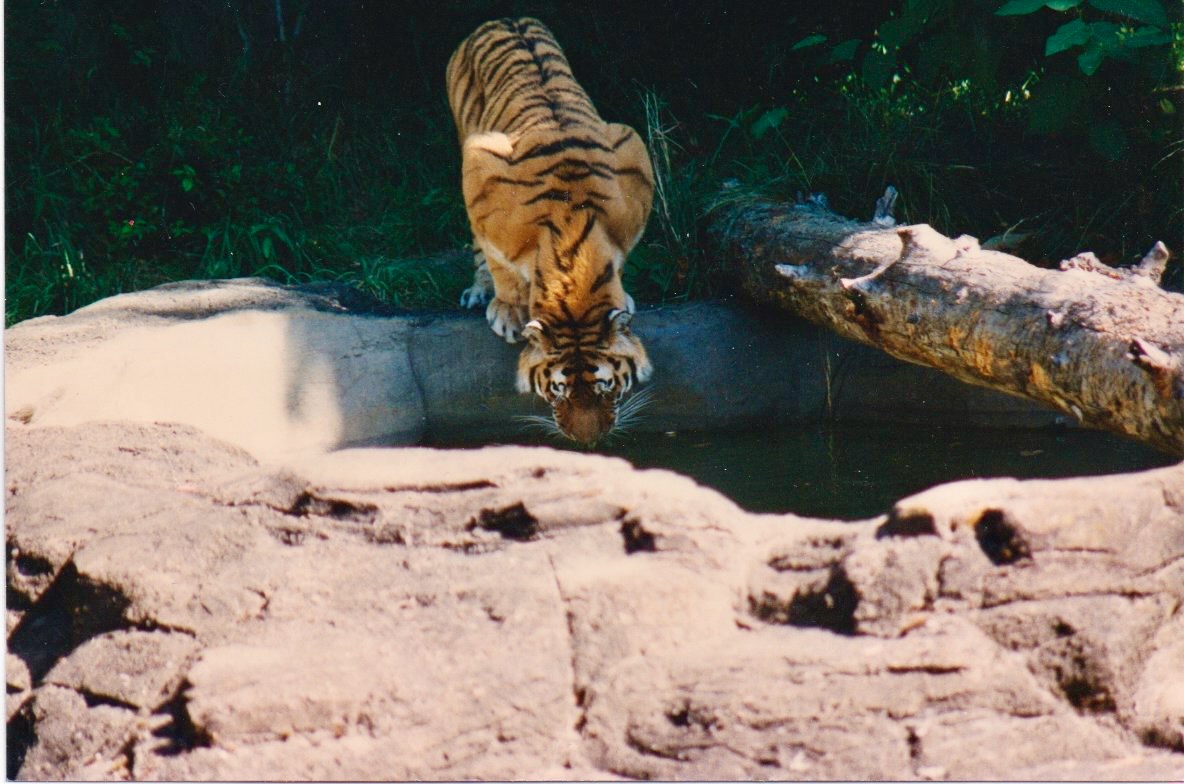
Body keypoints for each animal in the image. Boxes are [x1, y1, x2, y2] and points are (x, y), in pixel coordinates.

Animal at [446, 17, 655, 445]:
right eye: (558, 390)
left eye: (606, 387)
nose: (587, 441)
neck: (577, 255)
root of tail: (502, 19)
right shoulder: (480, 166)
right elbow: (497, 260)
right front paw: (508, 309)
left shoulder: (632, 154)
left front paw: (624, 298)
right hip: (467, 136)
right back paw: (479, 290)